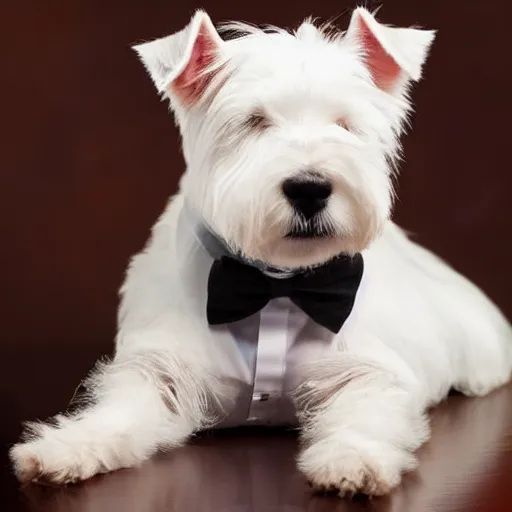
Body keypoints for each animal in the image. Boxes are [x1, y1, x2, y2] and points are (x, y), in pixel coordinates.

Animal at [11, 7, 512, 496]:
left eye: (344, 124)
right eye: (254, 122)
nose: (310, 188)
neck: (275, 283)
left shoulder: (370, 369)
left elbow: (366, 411)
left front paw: (351, 460)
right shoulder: (161, 370)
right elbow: (116, 415)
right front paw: (64, 448)